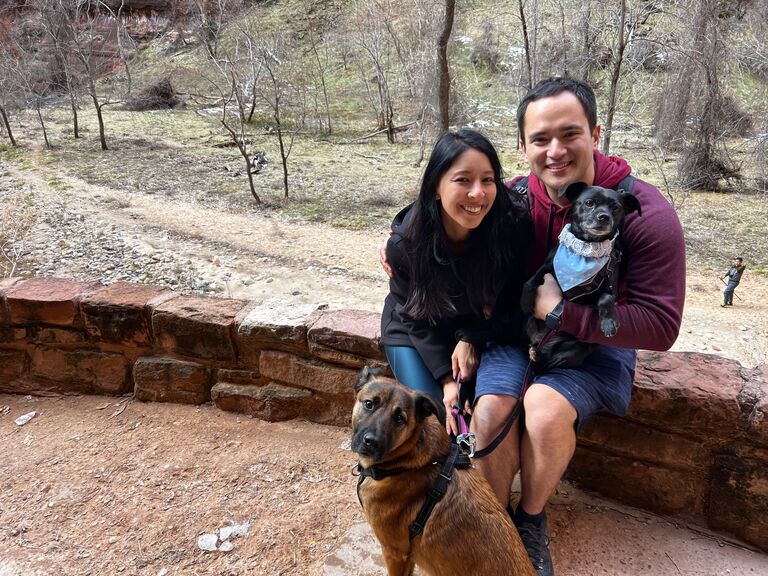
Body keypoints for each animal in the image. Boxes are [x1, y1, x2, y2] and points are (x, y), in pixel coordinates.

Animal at [520, 181, 640, 368]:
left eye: (616, 208)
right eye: (589, 203)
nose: (604, 217)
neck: (584, 248)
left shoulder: (611, 289)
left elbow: (605, 298)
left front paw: (609, 323)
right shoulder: (549, 265)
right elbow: (530, 281)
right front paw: (525, 301)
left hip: (573, 352)